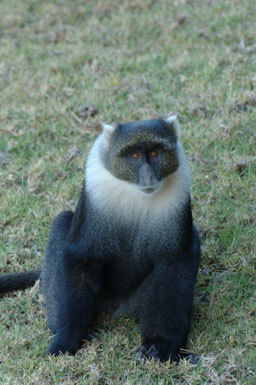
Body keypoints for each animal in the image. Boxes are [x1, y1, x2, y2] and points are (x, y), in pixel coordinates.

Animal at [0, 115, 200, 362]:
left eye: (154, 153)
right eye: (134, 156)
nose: (148, 176)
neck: (134, 192)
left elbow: (174, 263)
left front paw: (161, 346)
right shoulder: (96, 199)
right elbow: (80, 259)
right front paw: (67, 339)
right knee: (62, 221)